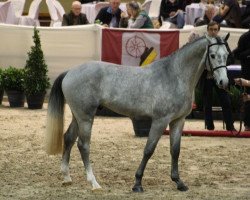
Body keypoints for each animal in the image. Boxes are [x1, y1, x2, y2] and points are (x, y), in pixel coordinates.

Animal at [45, 34, 230, 192]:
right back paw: (94, 183)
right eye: (212, 55)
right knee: (83, 145)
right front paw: (137, 184)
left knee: (68, 138)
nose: (223, 82)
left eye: (227, 54)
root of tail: (70, 72)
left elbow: (175, 150)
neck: (174, 76)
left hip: (78, 116)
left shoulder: (178, 121)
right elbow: (148, 150)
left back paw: (67, 177)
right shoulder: (160, 121)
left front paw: (179, 182)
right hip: (85, 117)